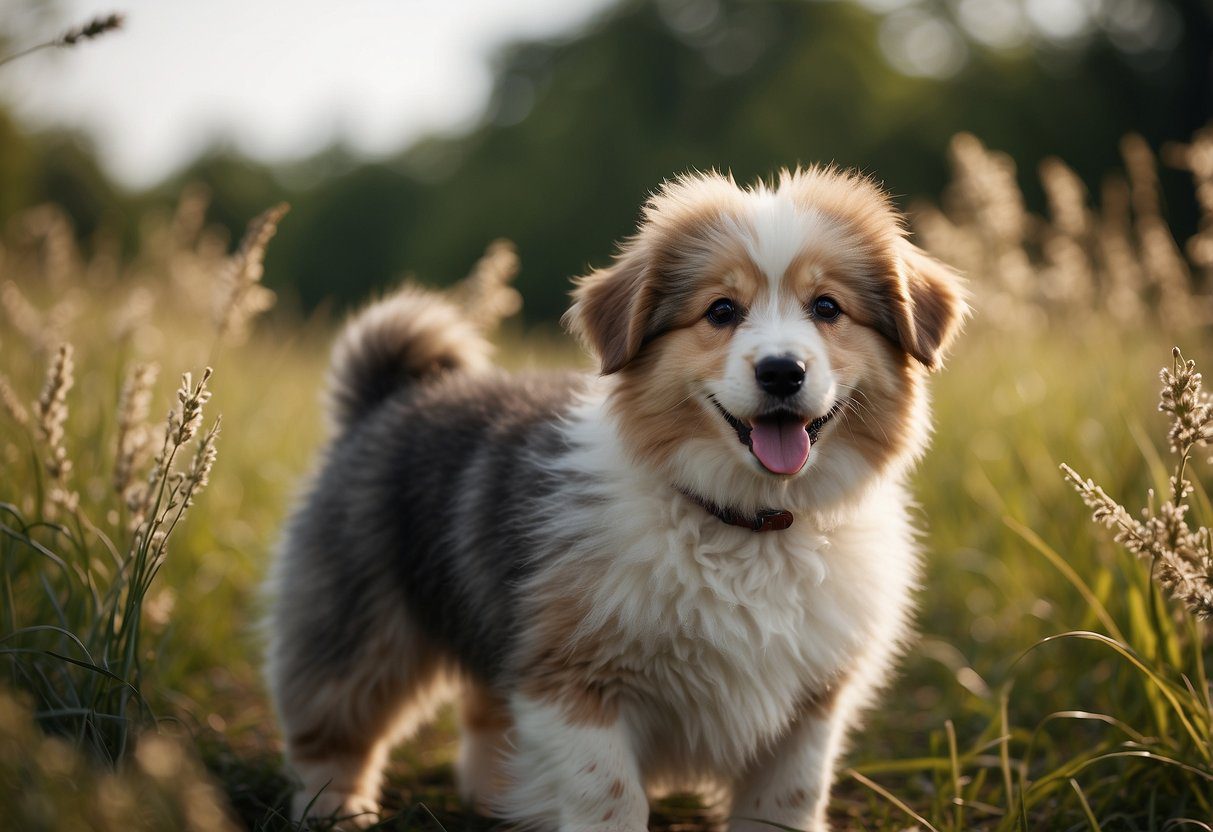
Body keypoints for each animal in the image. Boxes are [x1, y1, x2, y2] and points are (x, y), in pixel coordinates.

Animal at [263, 166, 965, 829]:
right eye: (720, 311)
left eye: (827, 307)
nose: (781, 371)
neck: (746, 522)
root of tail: (389, 396)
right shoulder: (569, 678)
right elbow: (610, 795)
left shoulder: (811, 704)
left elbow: (787, 800)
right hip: (357, 627)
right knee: (331, 728)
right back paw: (338, 811)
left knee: (485, 717)